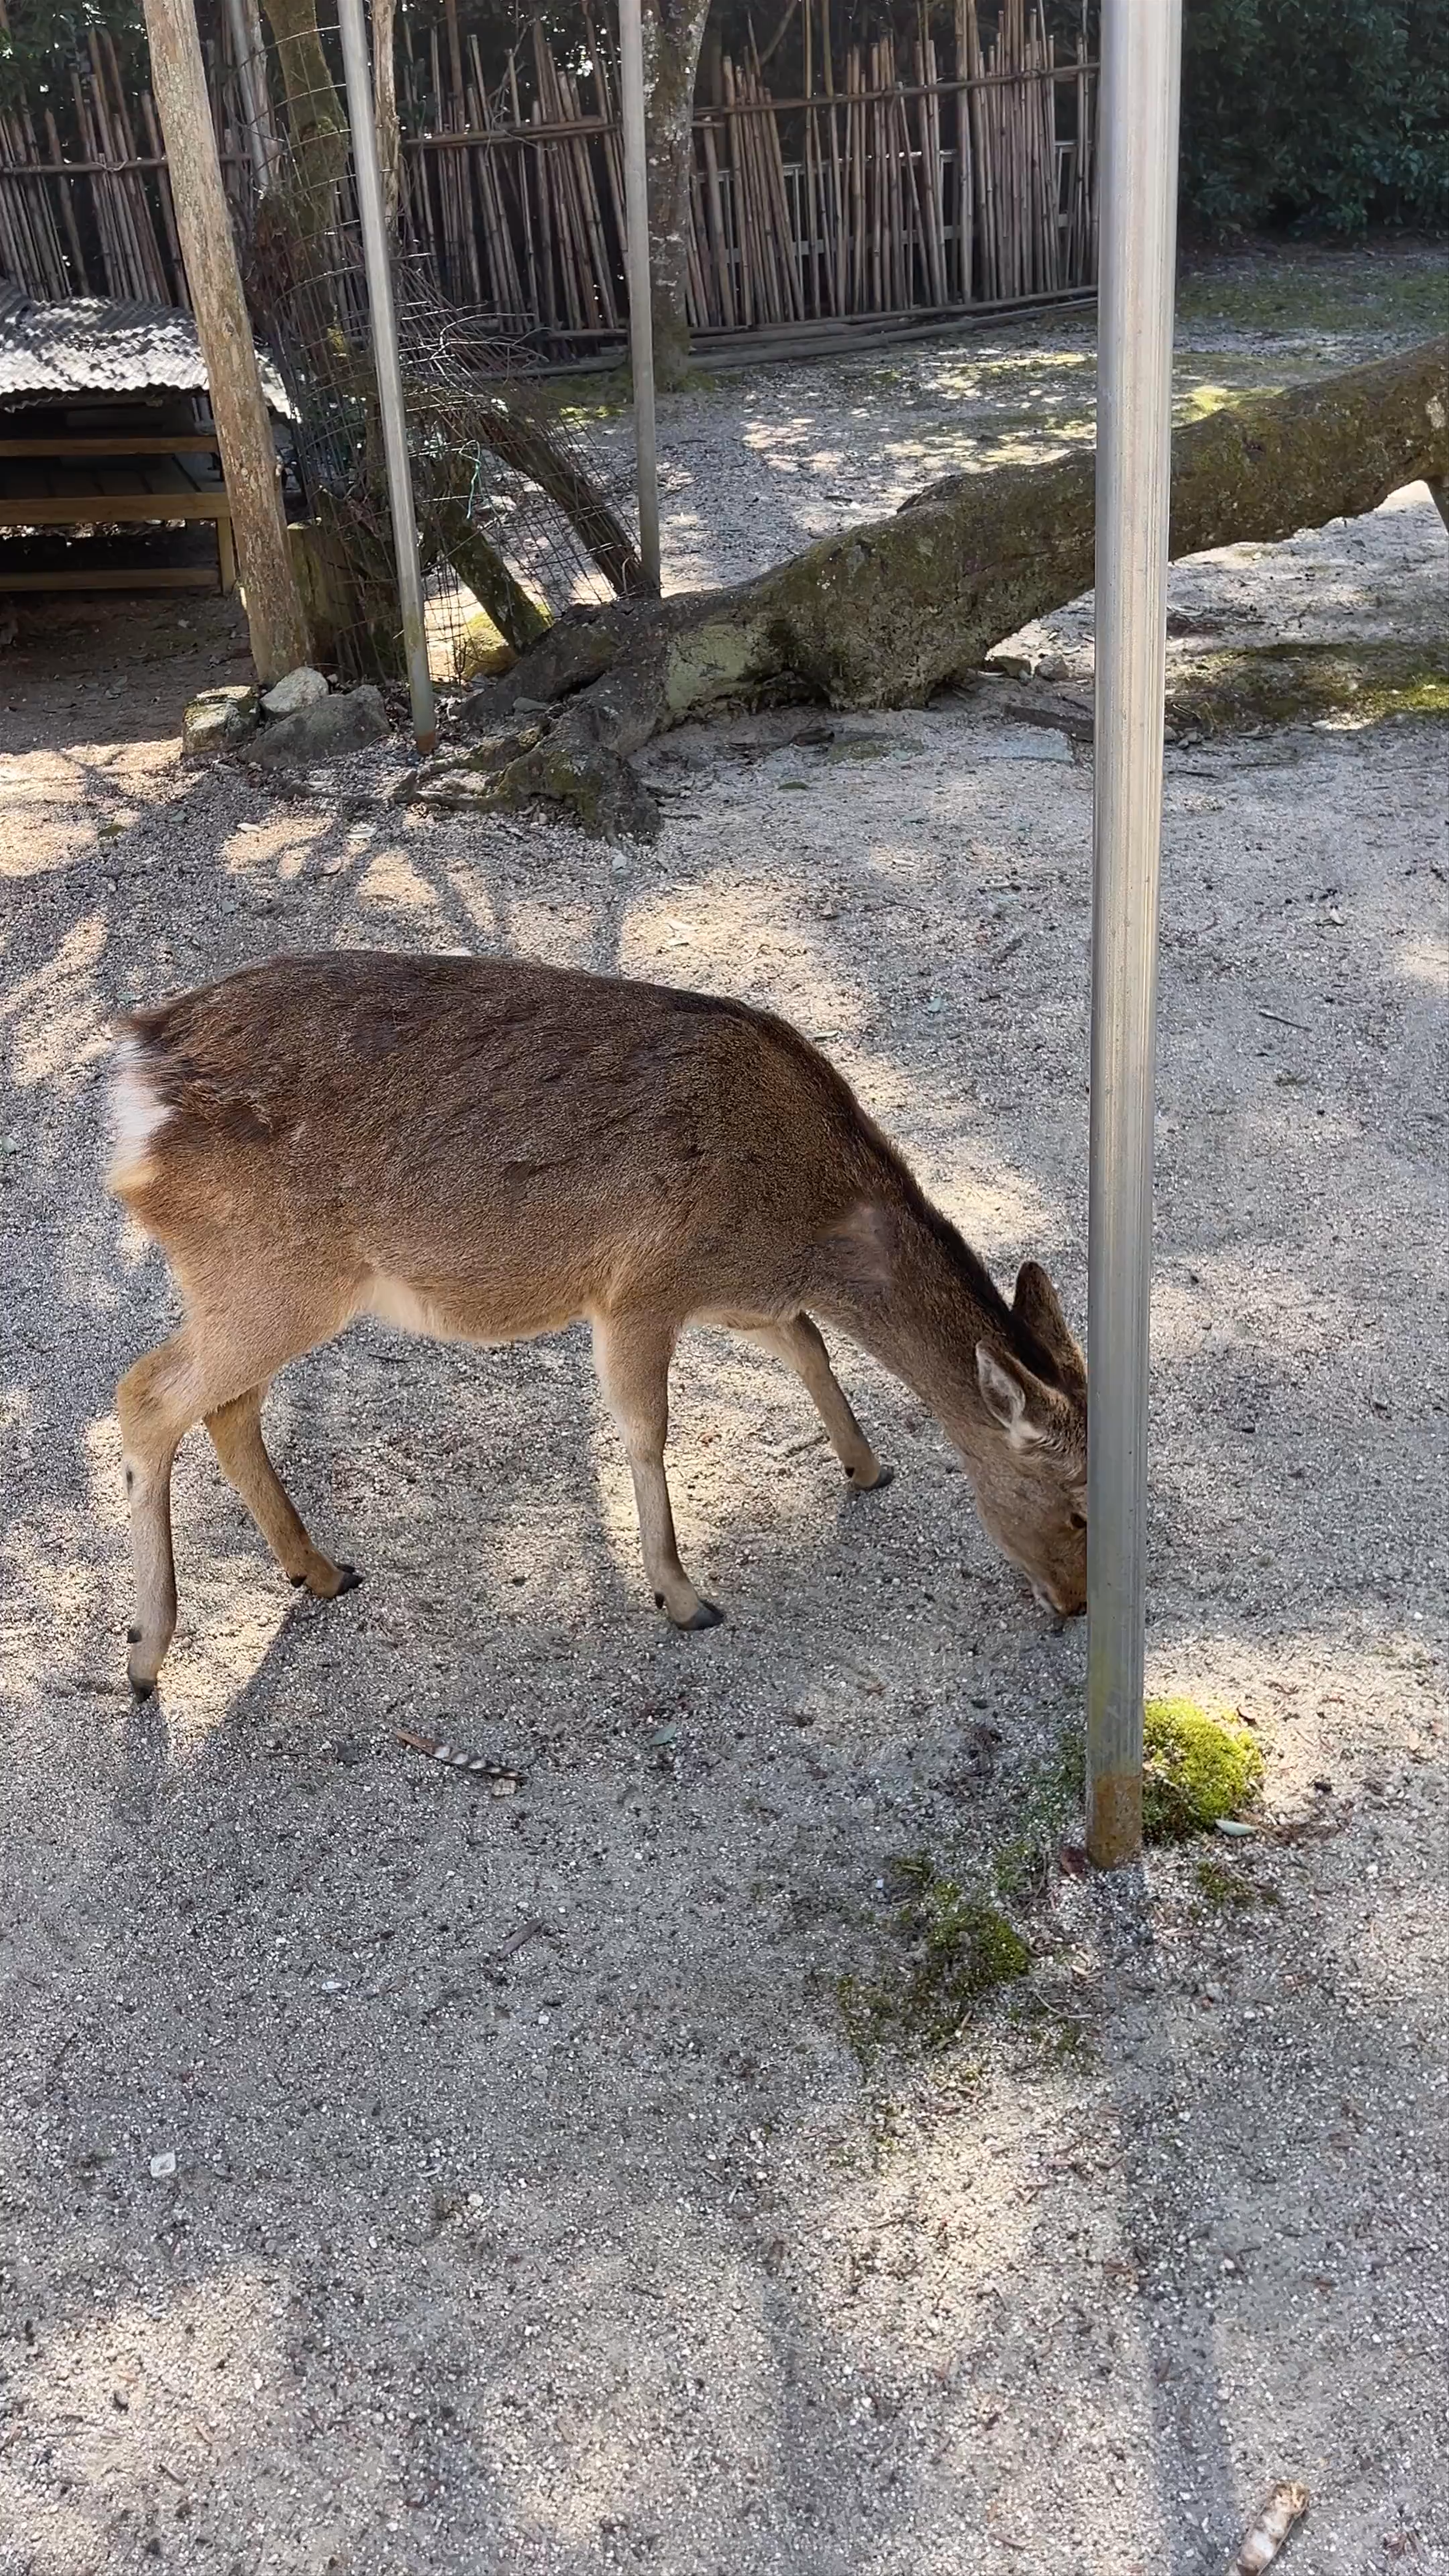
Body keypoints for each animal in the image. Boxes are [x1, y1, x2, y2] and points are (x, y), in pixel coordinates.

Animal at [108, 951, 1088, 1700]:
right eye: (1080, 1507)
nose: (1077, 1605)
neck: (807, 1218)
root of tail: (135, 1079)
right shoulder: (640, 1288)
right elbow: (646, 1430)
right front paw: (685, 1597)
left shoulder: (735, 1291)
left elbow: (806, 1342)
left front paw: (867, 1465)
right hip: (270, 1276)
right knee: (147, 1392)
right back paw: (147, 1653)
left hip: (256, 1286)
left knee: (227, 1407)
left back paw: (319, 1568)